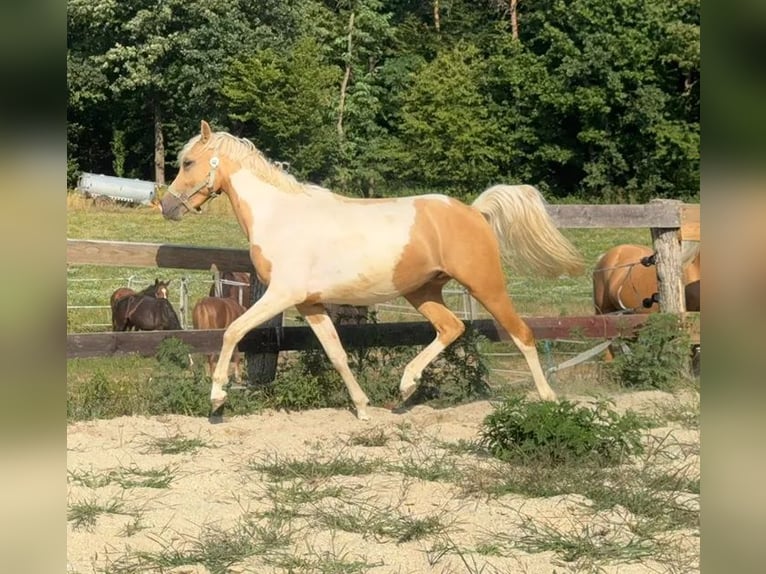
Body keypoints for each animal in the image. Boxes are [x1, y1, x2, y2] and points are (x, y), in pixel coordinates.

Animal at [160, 120, 584, 420]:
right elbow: (337, 353)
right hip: (422, 291)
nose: (167, 207)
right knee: (451, 328)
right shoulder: (310, 304)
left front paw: (217, 398)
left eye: (188, 162)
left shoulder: (282, 294)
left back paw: (548, 397)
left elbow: (232, 331)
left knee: (522, 334)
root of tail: (474, 211)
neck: (279, 215)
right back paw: (406, 388)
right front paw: (363, 407)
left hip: (485, 285)